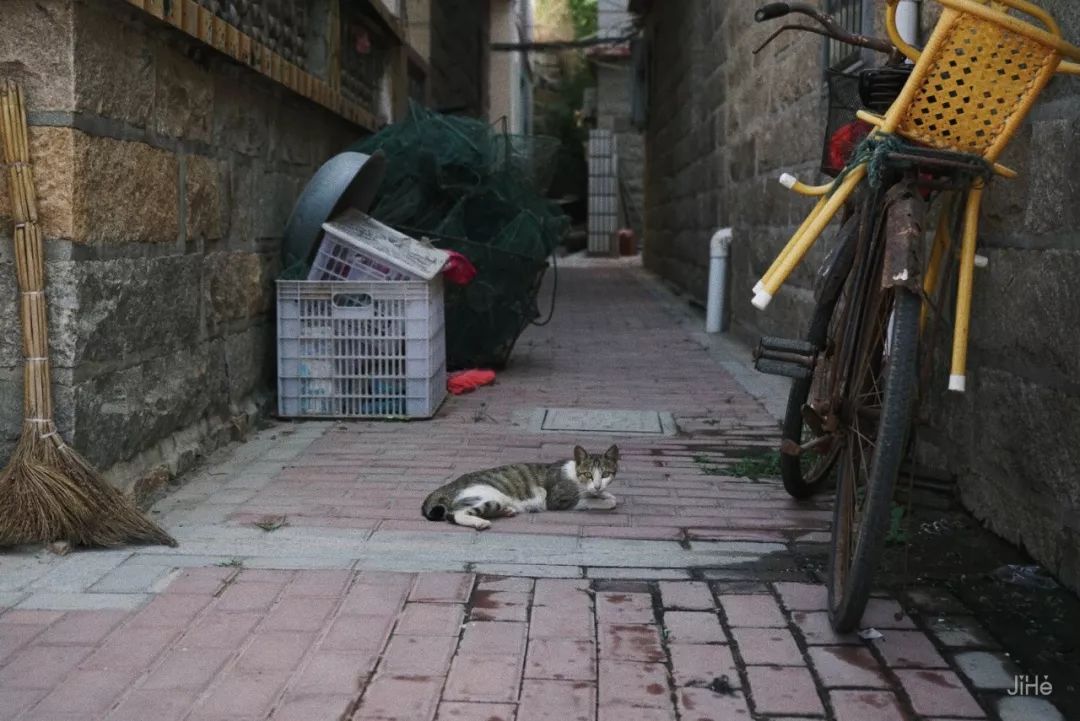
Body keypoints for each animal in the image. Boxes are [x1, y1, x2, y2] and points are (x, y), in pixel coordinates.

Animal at [423, 444, 626, 528]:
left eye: (605, 474)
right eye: (588, 474)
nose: (598, 486)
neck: (575, 474)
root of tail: (452, 484)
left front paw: (605, 494)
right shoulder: (557, 500)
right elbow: (586, 499)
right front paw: (603, 500)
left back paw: (505, 511)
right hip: (489, 496)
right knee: (454, 514)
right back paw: (479, 522)